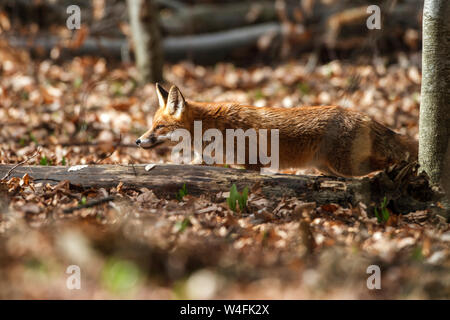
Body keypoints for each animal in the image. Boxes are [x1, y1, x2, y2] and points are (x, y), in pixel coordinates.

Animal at [135, 83, 416, 178]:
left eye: (159, 127)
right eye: (152, 125)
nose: (138, 141)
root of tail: (363, 115)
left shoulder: (252, 164)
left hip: (349, 165)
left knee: (390, 160)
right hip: (328, 167)